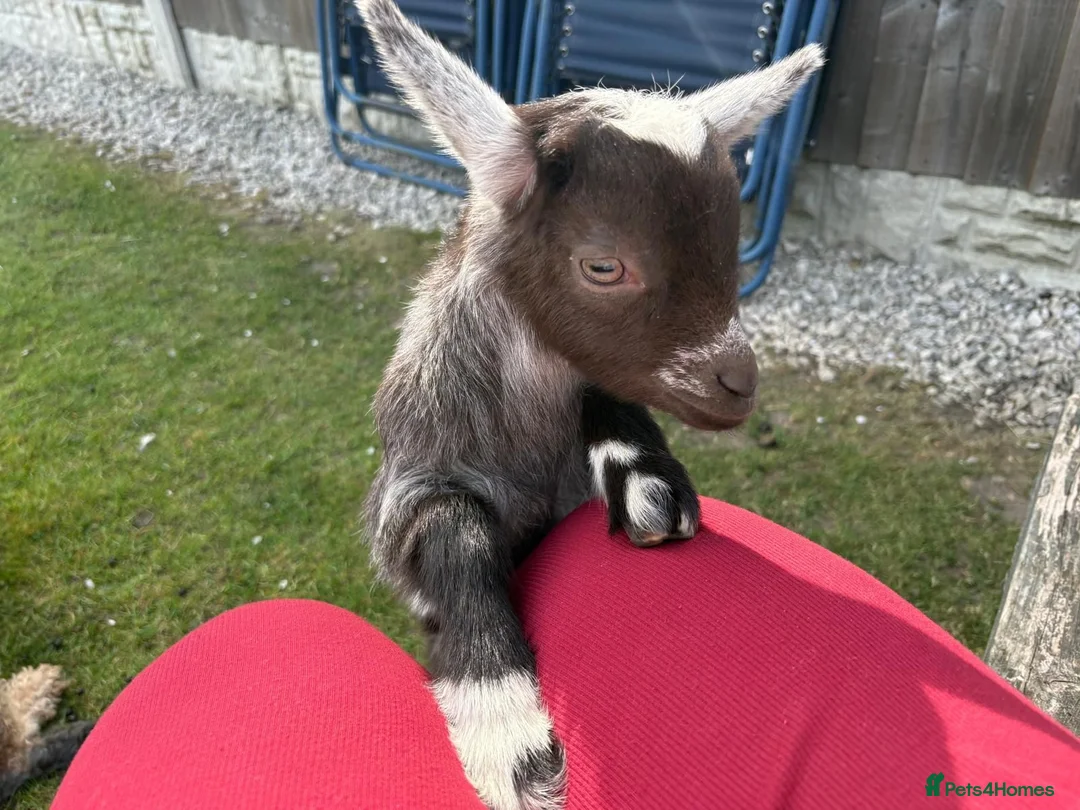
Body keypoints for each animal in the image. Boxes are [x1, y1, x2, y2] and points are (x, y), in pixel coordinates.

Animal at [356, 1, 824, 807]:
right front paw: (506, 733)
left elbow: (608, 401)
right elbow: (453, 531)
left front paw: (646, 481)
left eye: (732, 249)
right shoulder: (408, 492)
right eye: (604, 266)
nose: (739, 384)